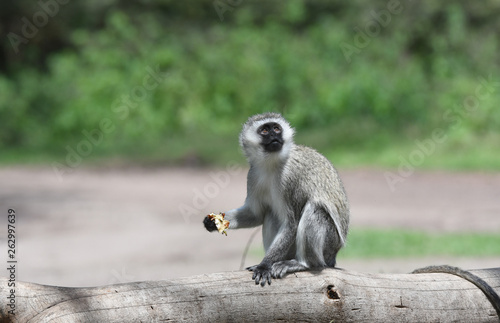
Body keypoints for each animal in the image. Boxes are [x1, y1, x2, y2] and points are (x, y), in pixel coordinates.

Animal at [202, 112, 348, 288]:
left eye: (277, 128)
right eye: (265, 130)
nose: (274, 136)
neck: (271, 164)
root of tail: (334, 256)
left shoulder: (291, 178)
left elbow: (291, 224)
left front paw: (265, 265)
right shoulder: (253, 175)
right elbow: (255, 215)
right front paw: (211, 222)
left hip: (329, 245)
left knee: (315, 210)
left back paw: (303, 264)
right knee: (270, 214)